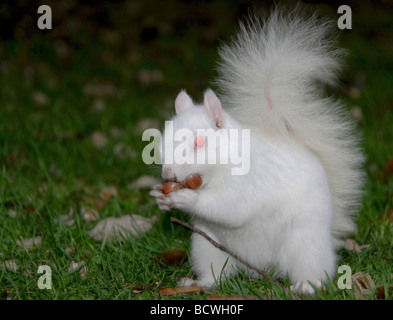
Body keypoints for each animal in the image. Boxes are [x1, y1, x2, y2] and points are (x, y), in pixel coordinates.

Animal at [149, 7, 362, 294]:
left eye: (199, 143)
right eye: (163, 139)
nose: (168, 175)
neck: (216, 171)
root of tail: (259, 267)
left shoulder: (248, 182)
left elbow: (230, 207)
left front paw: (187, 199)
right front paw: (159, 197)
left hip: (304, 245)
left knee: (314, 270)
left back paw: (305, 286)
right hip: (207, 246)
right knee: (217, 275)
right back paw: (199, 282)